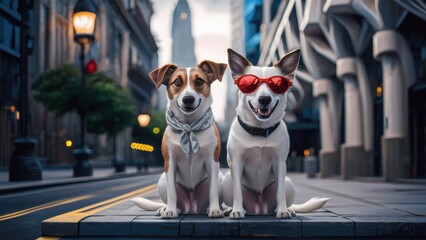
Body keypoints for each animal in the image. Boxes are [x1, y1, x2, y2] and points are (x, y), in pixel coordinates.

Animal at [132, 59, 226, 218]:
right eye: (177, 82)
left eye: (199, 81)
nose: (188, 99)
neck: (189, 125)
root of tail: (192, 208)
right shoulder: (170, 162)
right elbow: (172, 192)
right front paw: (170, 210)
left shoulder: (212, 161)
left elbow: (212, 190)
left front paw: (214, 210)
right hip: (162, 180)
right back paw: (167, 209)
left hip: (220, 177)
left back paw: (217, 208)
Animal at [223, 47, 330, 218]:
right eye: (249, 84)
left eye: (277, 84)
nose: (264, 99)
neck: (260, 130)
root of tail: (259, 209)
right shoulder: (237, 162)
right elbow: (238, 192)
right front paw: (237, 210)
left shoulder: (280, 163)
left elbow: (280, 192)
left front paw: (282, 211)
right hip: (226, 180)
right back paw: (230, 209)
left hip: (289, 183)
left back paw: (288, 209)